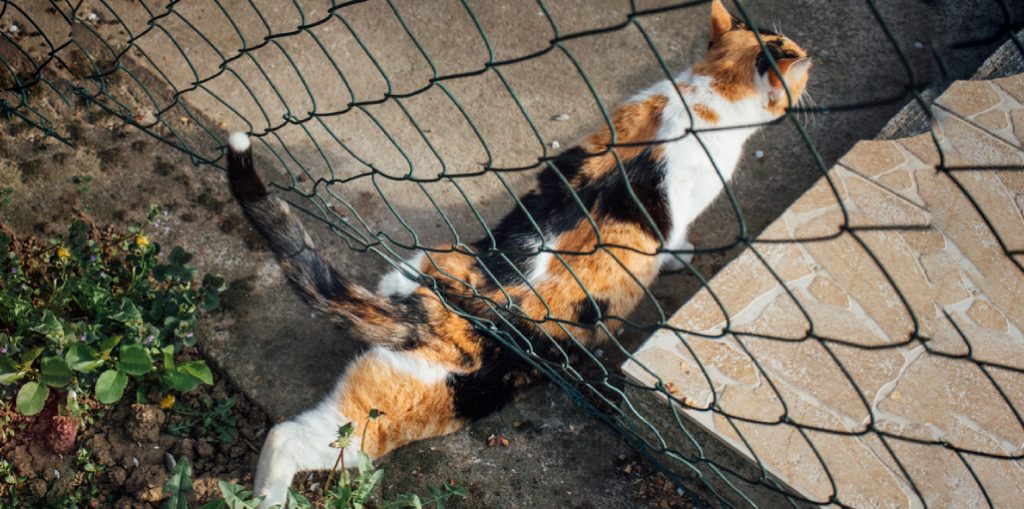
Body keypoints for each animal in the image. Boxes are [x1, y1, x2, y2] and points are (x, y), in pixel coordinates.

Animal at [228, 1, 811, 503]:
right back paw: (263, 501)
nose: (811, 60)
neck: (706, 92)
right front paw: (681, 256)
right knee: (292, 439)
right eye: (798, 58)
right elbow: (675, 239)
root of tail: (442, 311)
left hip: (407, 301)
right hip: (401, 413)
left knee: (291, 429)